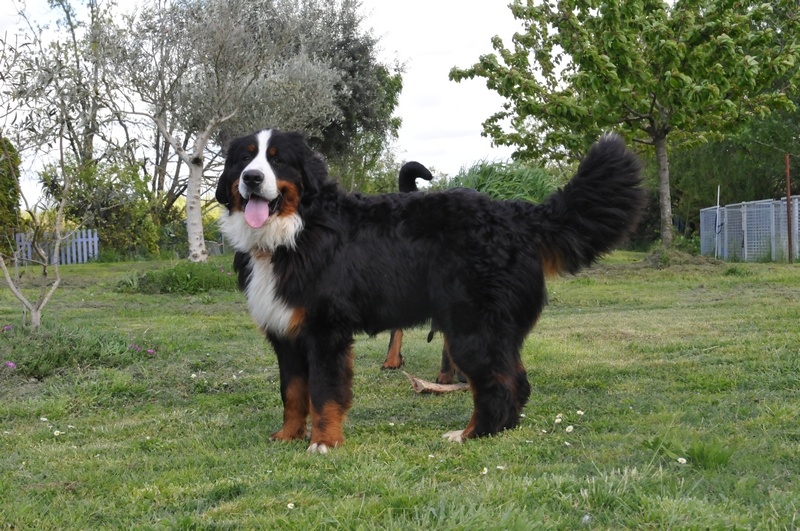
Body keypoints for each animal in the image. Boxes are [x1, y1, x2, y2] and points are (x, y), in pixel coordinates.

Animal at [214, 129, 644, 454]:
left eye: (277, 160)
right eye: (245, 159)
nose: (252, 179)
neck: (296, 231)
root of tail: (516, 214)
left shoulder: (325, 333)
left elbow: (323, 393)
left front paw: (323, 443)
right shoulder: (286, 335)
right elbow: (292, 393)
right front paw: (287, 436)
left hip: (472, 329)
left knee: (499, 384)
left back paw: (471, 434)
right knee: (515, 382)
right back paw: (495, 431)